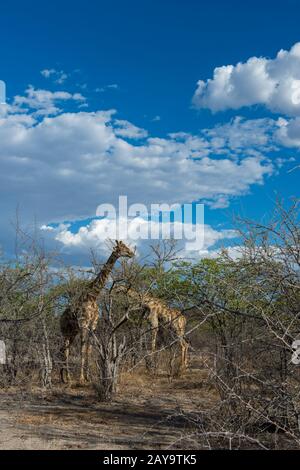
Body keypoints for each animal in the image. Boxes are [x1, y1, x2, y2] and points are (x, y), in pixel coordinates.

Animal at [59, 241, 134, 384]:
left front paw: (87, 377)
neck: (93, 296)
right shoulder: (83, 325)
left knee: (65, 349)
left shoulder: (92, 326)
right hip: (65, 332)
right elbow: (82, 350)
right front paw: (81, 378)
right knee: (64, 350)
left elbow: (89, 350)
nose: (131, 253)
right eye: (122, 248)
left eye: (126, 246)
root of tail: (59, 318)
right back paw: (67, 378)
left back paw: (64, 377)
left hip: (72, 333)